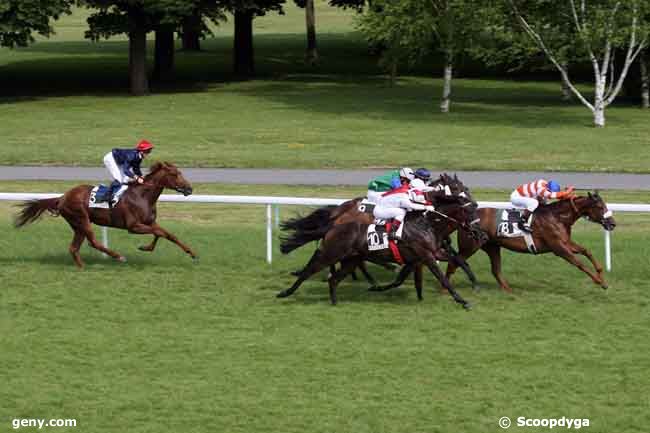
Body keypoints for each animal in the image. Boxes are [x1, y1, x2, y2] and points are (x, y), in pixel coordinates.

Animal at [12, 160, 195, 264]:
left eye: (180, 172)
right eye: (174, 174)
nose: (189, 188)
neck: (142, 195)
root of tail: (62, 197)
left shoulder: (150, 222)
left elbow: (167, 235)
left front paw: (192, 253)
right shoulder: (133, 226)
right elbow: (160, 233)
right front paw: (145, 247)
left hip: (78, 225)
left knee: (74, 248)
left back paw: (82, 268)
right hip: (82, 219)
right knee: (92, 242)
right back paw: (118, 256)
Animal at [446, 192, 612, 290]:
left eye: (605, 205)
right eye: (599, 206)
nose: (613, 223)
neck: (557, 217)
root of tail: (462, 220)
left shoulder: (565, 243)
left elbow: (586, 251)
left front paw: (601, 275)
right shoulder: (558, 248)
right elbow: (579, 263)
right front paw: (599, 281)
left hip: (492, 246)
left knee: (496, 270)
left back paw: (509, 291)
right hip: (470, 246)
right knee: (454, 262)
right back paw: (445, 289)